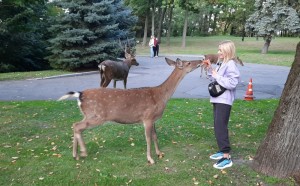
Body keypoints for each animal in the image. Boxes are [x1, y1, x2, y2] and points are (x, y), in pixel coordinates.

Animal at [58, 57, 204, 164]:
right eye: (188, 62)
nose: (201, 60)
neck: (161, 96)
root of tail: (80, 95)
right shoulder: (147, 117)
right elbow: (148, 138)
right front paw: (150, 159)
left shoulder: (154, 119)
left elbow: (155, 136)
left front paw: (159, 153)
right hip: (97, 115)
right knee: (77, 126)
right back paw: (82, 152)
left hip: (88, 114)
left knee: (76, 126)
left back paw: (76, 155)